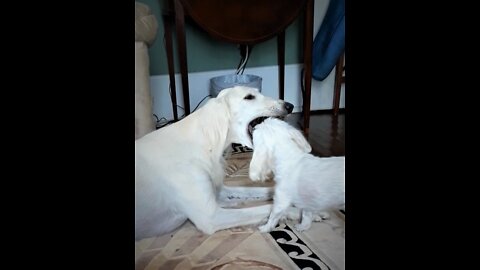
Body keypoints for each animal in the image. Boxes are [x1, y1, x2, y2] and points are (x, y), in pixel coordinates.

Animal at [134, 86, 292, 238]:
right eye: (249, 97)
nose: (290, 106)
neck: (204, 142)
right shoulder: (211, 217)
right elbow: (269, 208)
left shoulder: (219, 189)